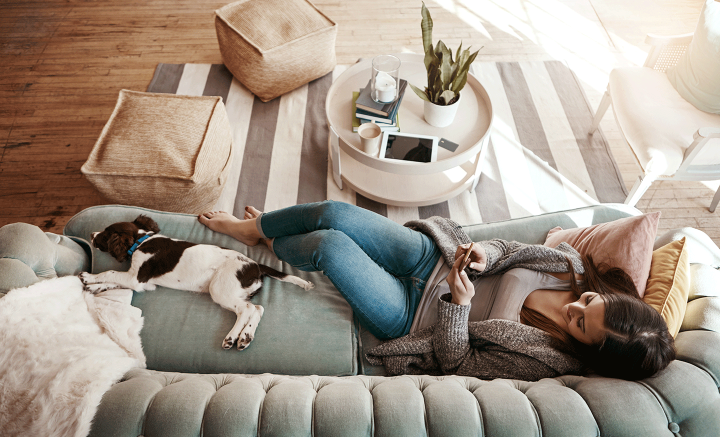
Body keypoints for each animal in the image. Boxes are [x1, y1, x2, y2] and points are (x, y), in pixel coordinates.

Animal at [80, 215, 314, 350]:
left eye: (105, 234)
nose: (91, 233)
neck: (141, 240)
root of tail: (255, 265)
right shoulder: (143, 282)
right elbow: (114, 281)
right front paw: (94, 286)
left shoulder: (137, 278)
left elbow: (112, 272)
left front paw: (90, 277)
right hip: (237, 291)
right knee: (257, 308)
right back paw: (245, 337)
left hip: (220, 288)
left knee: (246, 309)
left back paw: (232, 338)